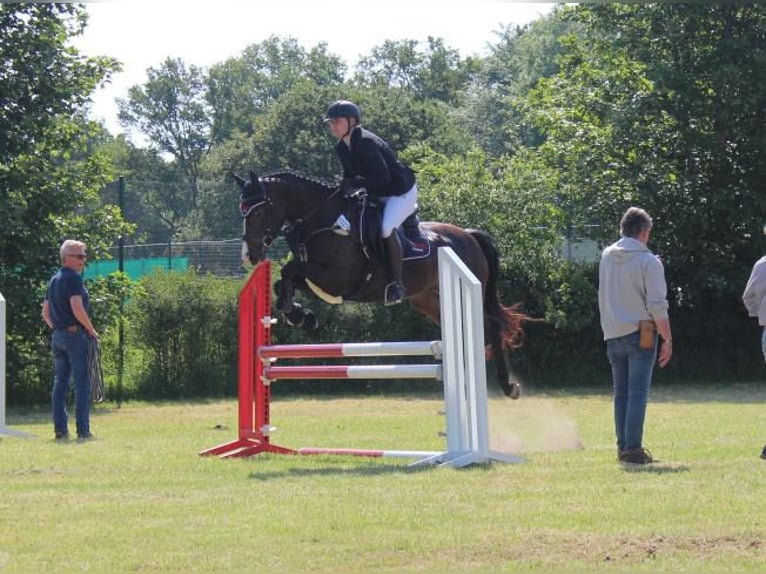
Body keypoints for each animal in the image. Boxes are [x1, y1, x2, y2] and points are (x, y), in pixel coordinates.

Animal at [237, 169, 532, 398]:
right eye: (243, 212)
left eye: (257, 212)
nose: (249, 255)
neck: (324, 219)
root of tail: (469, 236)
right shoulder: (319, 280)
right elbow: (284, 281)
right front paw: (301, 315)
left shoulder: (337, 279)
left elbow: (290, 269)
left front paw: (298, 314)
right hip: (427, 299)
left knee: (491, 325)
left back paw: (508, 386)